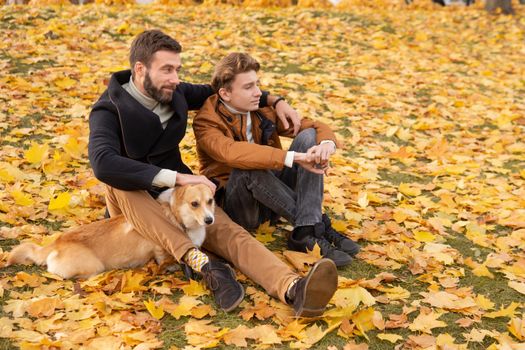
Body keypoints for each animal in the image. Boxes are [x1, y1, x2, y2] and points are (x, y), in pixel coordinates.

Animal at [6, 183, 215, 278]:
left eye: (210, 201)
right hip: (93, 266)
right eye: (194, 204)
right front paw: (171, 266)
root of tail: (57, 242)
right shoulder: (158, 247)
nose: (209, 220)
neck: (177, 214)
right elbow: (163, 257)